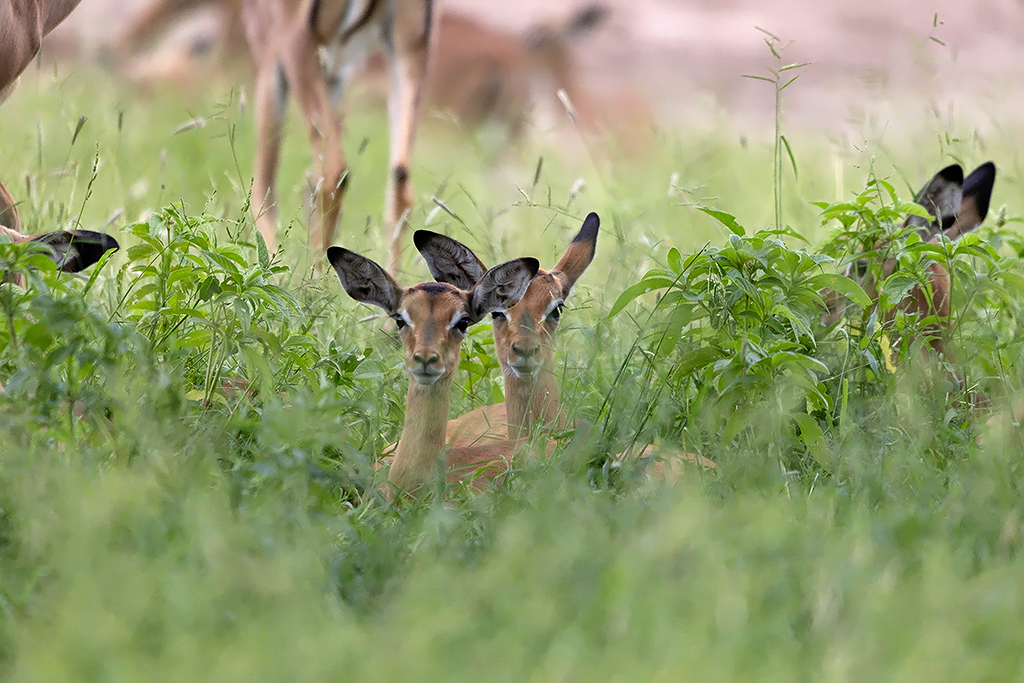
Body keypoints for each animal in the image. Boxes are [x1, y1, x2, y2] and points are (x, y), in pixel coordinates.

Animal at [241, 0, 436, 274]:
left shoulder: (274, 53)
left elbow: (266, 187)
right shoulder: (335, 72)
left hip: (295, 50)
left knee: (329, 174)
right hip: (408, 49)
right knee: (401, 181)